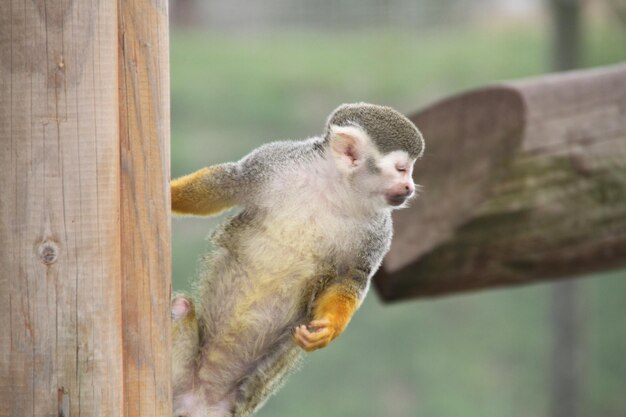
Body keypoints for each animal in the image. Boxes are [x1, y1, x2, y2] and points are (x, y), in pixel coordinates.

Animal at [171, 101, 424, 416]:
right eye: (402, 169)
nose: (409, 187)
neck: (334, 190)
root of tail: (200, 399)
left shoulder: (378, 229)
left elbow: (352, 276)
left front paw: (329, 328)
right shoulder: (273, 162)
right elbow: (226, 183)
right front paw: (168, 194)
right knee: (181, 307)